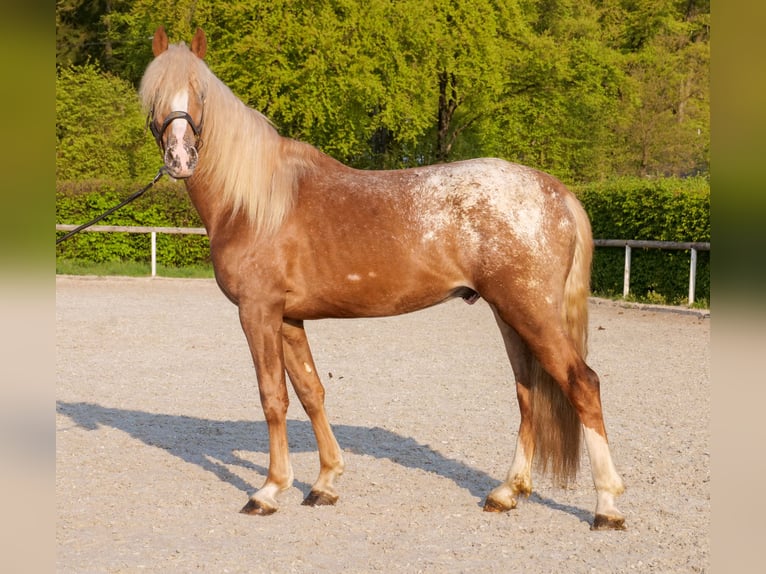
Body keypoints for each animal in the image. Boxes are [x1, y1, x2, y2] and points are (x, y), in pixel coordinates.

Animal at [140, 26, 625, 530]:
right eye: (152, 96)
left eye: (199, 93)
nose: (179, 158)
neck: (253, 204)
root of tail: (556, 191)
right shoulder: (288, 319)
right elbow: (311, 392)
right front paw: (325, 482)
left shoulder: (258, 313)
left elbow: (273, 397)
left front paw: (270, 489)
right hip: (510, 316)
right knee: (528, 394)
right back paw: (507, 492)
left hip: (531, 313)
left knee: (583, 385)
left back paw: (606, 505)